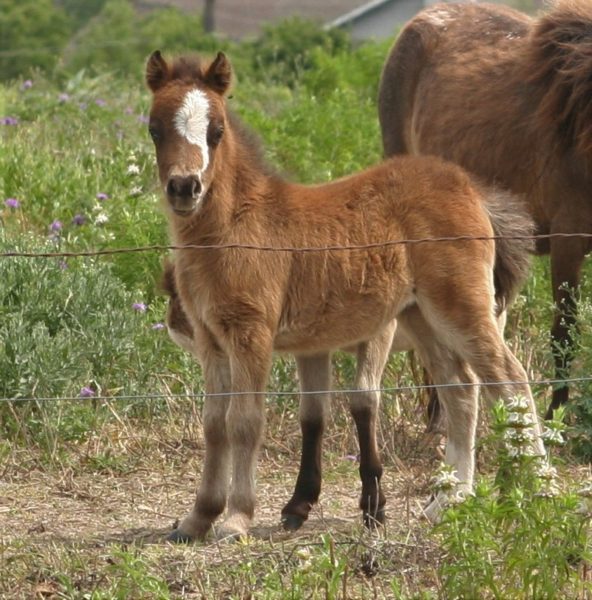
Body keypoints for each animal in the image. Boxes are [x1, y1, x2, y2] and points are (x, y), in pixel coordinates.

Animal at [147, 49, 540, 540]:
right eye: (154, 128)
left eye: (216, 131)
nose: (185, 187)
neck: (234, 226)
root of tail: (470, 187)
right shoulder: (210, 339)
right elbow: (214, 424)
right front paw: (199, 517)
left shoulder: (252, 334)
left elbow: (245, 421)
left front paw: (237, 518)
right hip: (421, 317)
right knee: (461, 390)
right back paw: (446, 503)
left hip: (462, 307)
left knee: (510, 378)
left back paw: (539, 490)